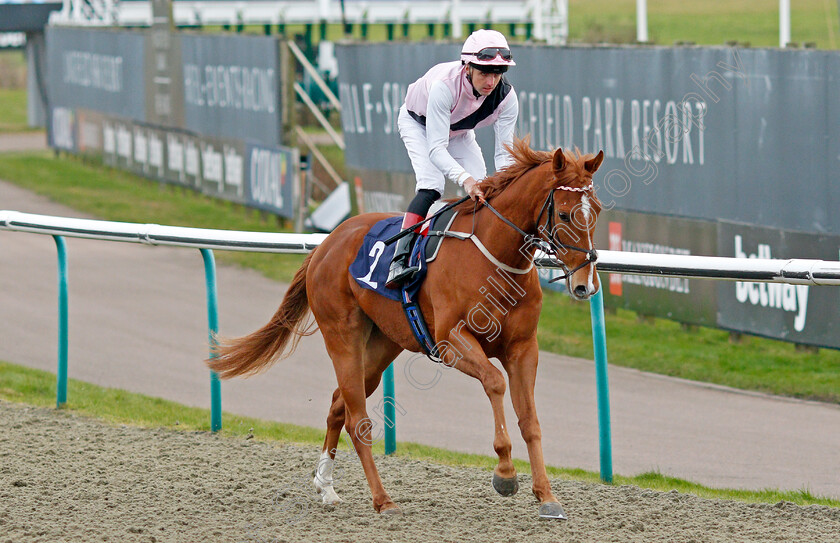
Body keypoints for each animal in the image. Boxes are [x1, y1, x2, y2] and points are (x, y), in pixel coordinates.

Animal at [210, 138, 604, 520]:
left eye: (597, 211)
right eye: (565, 213)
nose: (585, 284)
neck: (495, 257)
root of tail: (327, 243)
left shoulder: (523, 348)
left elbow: (530, 420)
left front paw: (547, 496)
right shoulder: (451, 342)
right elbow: (495, 383)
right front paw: (505, 474)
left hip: (382, 344)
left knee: (339, 404)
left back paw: (327, 487)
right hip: (342, 336)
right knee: (358, 420)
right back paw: (383, 500)